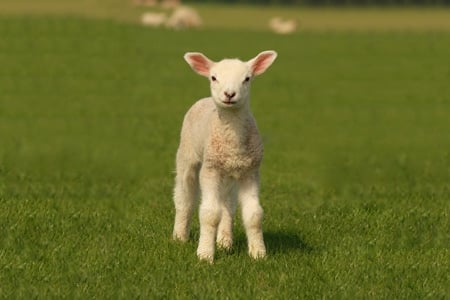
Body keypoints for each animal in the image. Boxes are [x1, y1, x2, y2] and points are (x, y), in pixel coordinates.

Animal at [173, 50, 276, 262]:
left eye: (247, 78)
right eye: (213, 77)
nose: (229, 94)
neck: (233, 143)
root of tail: (205, 99)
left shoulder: (250, 172)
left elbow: (254, 215)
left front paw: (258, 253)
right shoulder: (210, 169)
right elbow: (210, 214)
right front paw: (205, 255)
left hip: (229, 172)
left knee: (227, 204)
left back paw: (224, 240)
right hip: (187, 154)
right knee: (184, 196)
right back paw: (179, 236)